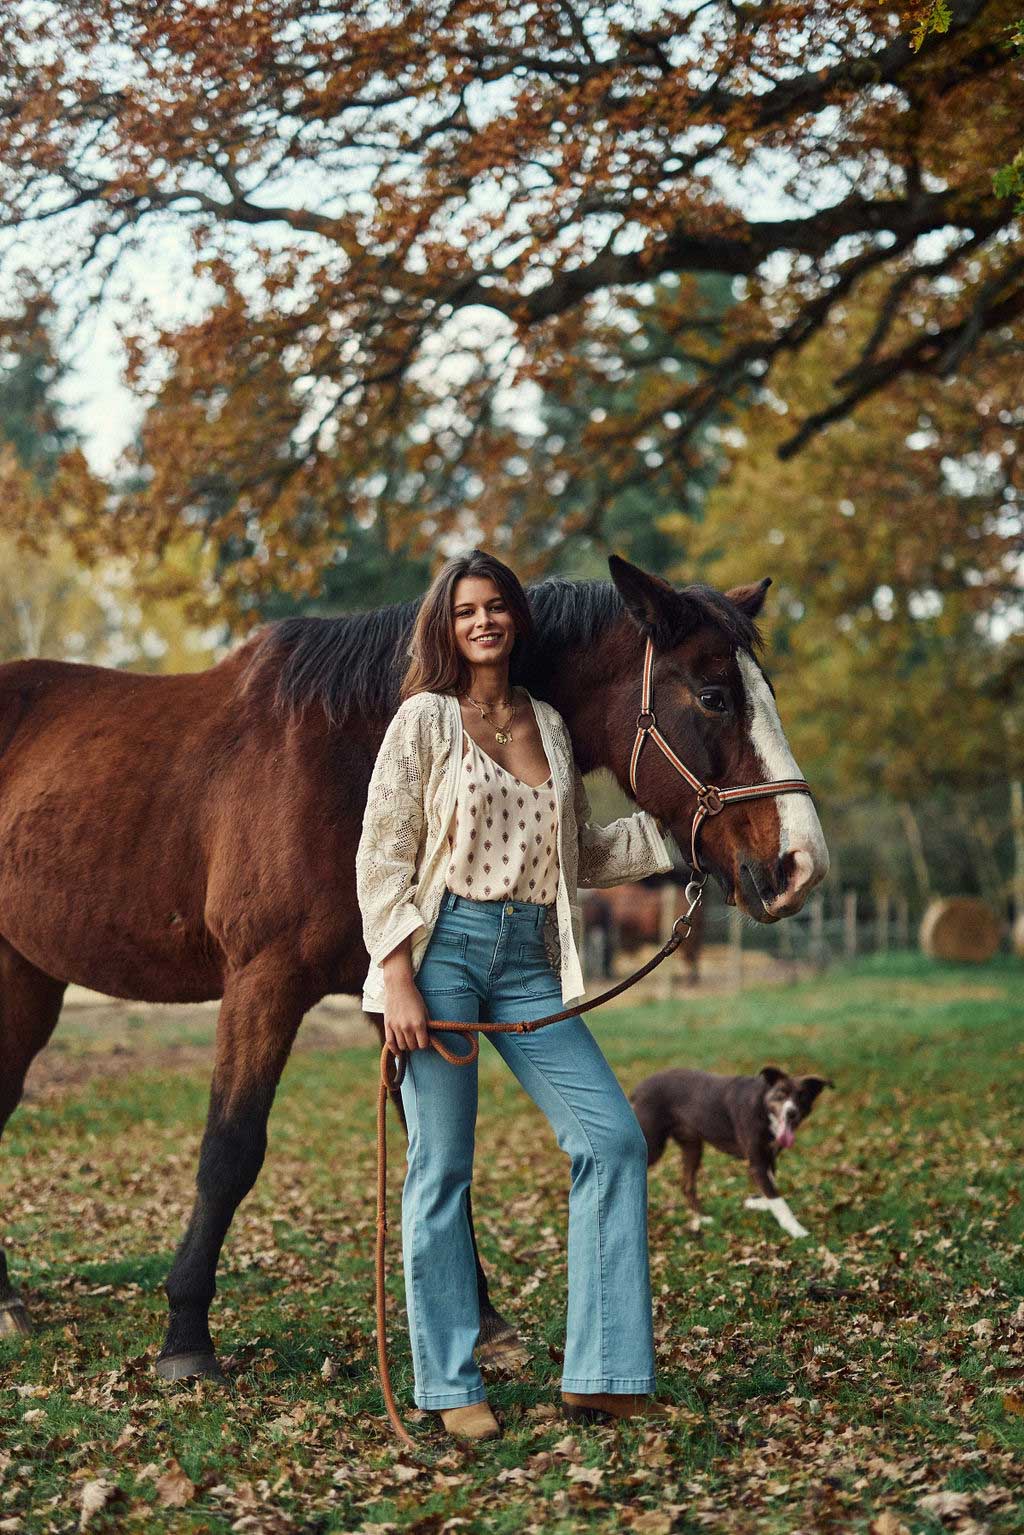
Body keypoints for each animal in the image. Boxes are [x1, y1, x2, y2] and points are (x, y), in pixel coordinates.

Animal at [629, 1074, 835, 1240]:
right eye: (780, 1095)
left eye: (802, 1096)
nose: (791, 1113)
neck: (762, 1106)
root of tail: (637, 1088)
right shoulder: (758, 1164)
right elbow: (777, 1199)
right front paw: (796, 1229)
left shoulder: (769, 1159)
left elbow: (771, 1190)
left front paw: (756, 1202)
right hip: (653, 1146)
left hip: (693, 1147)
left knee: (687, 1186)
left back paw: (704, 1218)